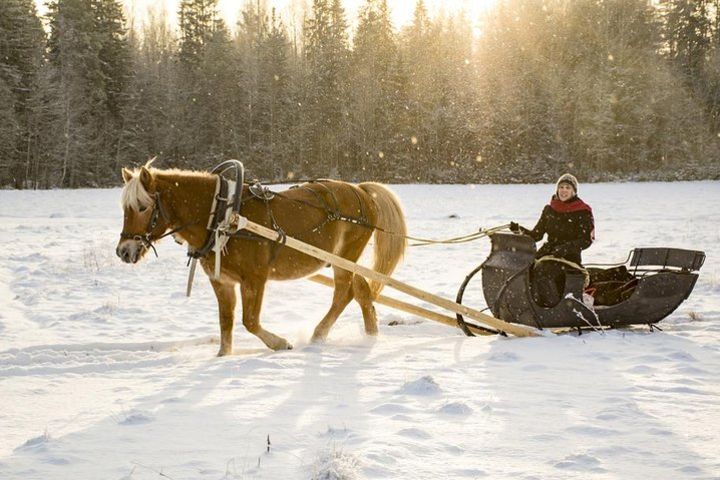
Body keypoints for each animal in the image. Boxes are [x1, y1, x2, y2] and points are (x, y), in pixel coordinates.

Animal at [119, 165, 410, 356]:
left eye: (143, 207)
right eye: (125, 208)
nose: (123, 251)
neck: (224, 215)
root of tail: (361, 190)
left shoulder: (255, 278)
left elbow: (249, 321)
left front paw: (280, 343)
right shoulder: (221, 281)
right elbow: (226, 322)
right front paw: (223, 356)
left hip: (344, 256)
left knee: (343, 294)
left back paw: (318, 335)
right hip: (345, 259)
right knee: (361, 289)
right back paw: (371, 335)